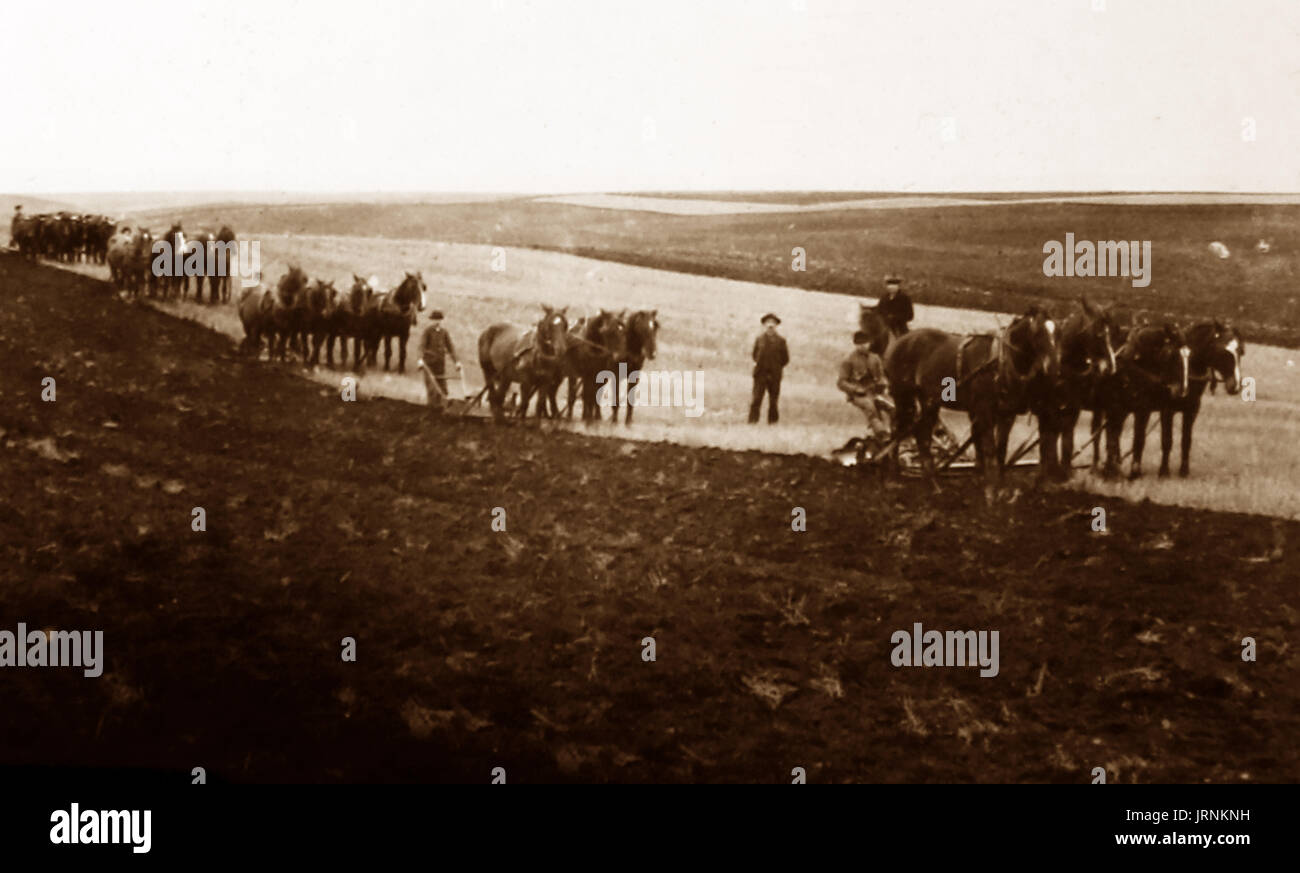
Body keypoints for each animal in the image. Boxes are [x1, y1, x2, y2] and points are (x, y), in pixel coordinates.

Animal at [883, 306, 1055, 501]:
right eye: (1038, 332)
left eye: (1056, 332)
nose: (1051, 367)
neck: (1000, 362)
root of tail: (898, 342)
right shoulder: (984, 411)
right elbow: (989, 450)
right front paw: (990, 491)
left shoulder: (1006, 414)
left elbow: (1001, 450)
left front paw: (1000, 488)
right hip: (903, 395)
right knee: (898, 428)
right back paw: (893, 478)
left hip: (929, 400)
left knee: (922, 435)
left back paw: (932, 483)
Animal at [1097, 323, 1190, 480]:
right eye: (1172, 355)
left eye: (1188, 356)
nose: (1181, 391)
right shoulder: (1119, 407)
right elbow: (1117, 437)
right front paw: (1130, 471)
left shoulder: (1143, 409)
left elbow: (1139, 439)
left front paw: (1134, 471)